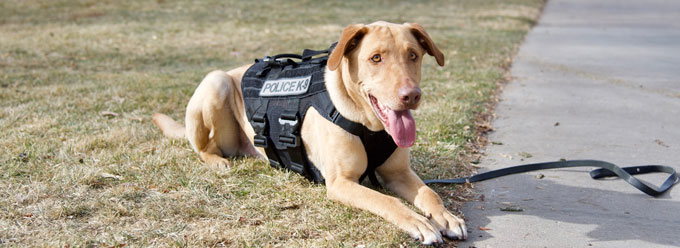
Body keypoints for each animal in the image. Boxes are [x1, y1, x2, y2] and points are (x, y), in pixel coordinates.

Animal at [151, 21, 464, 244]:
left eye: (413, 55)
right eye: (376, 58)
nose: (411, 95)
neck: (368, 124)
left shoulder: (398, 172)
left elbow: (429, 193)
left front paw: (445, 216)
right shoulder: (339, 182)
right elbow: (386, 200)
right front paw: (418, 222)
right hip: (215, 82)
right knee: (203, 148)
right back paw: (217, 161)